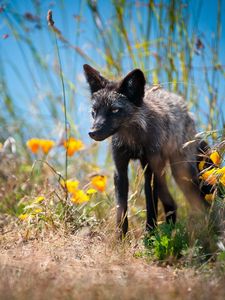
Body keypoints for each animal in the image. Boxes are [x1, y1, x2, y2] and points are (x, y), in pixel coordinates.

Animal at [83, 64, 208, 238]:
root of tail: (184, 106)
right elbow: (121, 210)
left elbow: (151, 207)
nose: (92, 132)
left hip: (181, 173)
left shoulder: (149, 171)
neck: (133, 142)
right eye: (94, 111)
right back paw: (171, 230)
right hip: (166, 174)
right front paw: (120, 238)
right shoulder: (120, 171)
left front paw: (150, 235)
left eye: (114, 110)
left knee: (200, 203)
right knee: (172, 204)